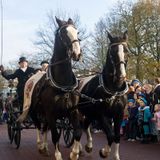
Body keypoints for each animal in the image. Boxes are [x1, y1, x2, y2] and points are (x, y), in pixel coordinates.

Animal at [27, 17, 81, 160]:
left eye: (77, 32)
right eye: (63, 33)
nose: (77, 53)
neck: (63, 84)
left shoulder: (73, 111)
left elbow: (77, 132)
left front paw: (74, 153)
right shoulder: (51, 113)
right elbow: (55, 135)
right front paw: (58, 155)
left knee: (45, 128)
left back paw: (45, 147)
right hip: (34, 111)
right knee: (38, 126)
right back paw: (40, 146)